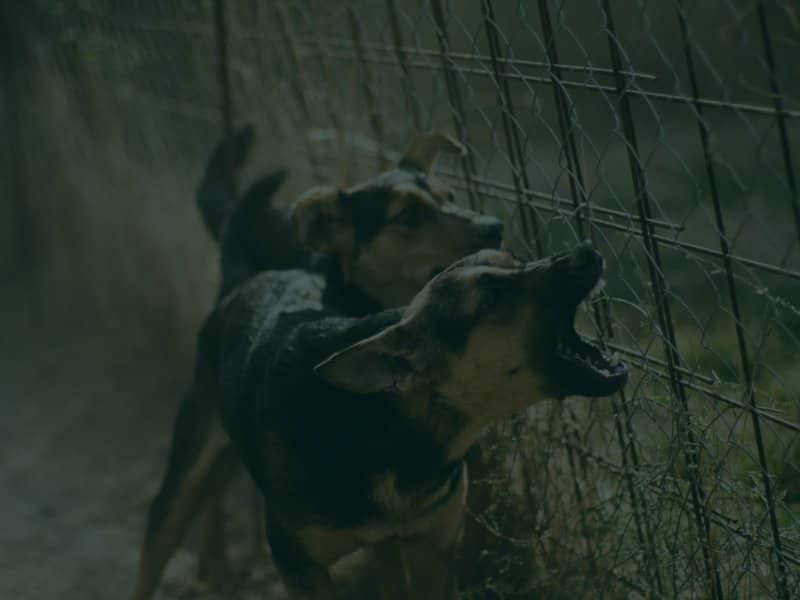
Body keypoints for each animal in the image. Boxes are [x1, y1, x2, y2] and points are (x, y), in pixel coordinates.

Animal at [132, 132, 506, 600]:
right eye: (406, 216)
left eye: (450, 196)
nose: (494, 227)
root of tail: (242, 276)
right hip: (193, 449)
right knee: (164, 524)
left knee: (213, 493)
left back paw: (215, 564)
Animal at [175, 241, 624, 596]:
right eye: (490, 298)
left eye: (516, 259)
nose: (587, 250)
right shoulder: (299, 566)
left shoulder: (433, 549)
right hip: (187, 474)